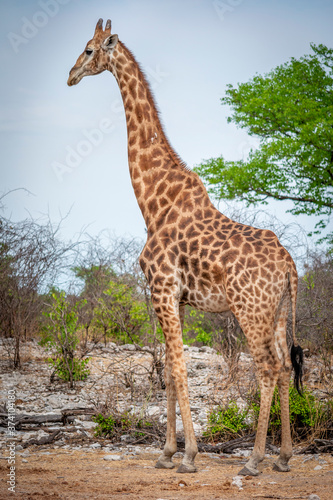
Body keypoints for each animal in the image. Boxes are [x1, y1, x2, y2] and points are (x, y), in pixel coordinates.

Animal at [67, 18, 300, 476]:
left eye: (88, 50)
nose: (69, 76)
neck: (153, 201)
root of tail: (289, 265)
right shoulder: (175, 298)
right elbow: (171, 373)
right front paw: (167, 452)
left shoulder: (161, 289)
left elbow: (176, 367)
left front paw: (189, 455)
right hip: (279, 310)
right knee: (284, 367)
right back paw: (282, 457)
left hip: (250, 309)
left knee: (266, 368)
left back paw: (254, 459)